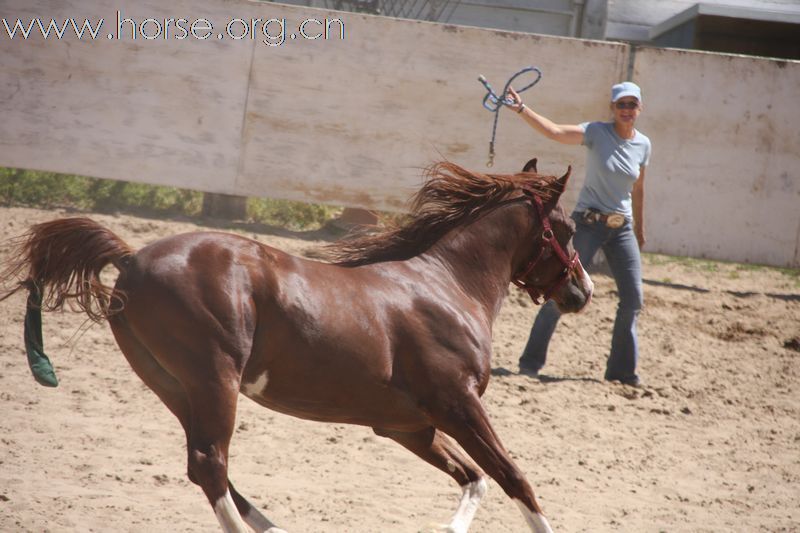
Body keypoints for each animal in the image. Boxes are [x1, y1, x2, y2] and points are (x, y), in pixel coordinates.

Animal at [1, 160, 592, 528]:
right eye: (565, 230)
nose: (582, 291)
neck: (447, 286)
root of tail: (130, 259)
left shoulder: (409, 426)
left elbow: (476, 479)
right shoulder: (458, 405)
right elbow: (515, 479)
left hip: (173, 386)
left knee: (206, 467)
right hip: (214, 379)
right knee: (211, 464)